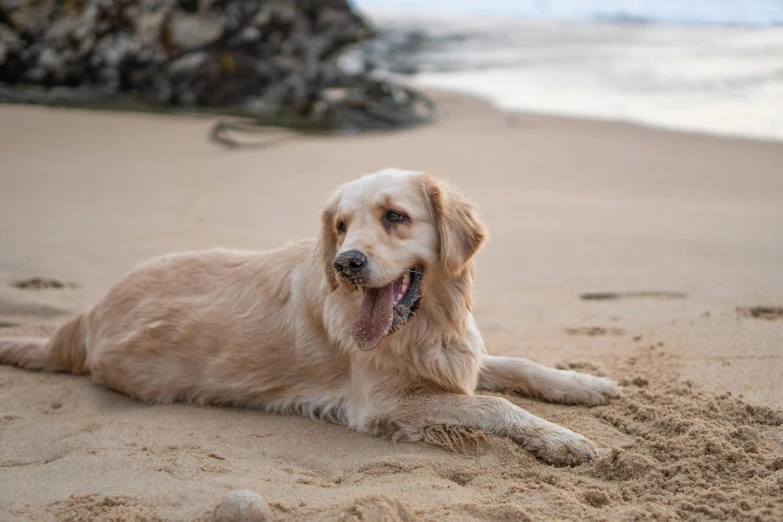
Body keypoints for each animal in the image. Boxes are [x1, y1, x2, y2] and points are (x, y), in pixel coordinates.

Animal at [0, 168, 616, 464]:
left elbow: (520, 366)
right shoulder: (383, 405)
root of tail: (89, 310)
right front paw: (564, 440)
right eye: (341, 226)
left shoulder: (453, 356)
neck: (421, 324)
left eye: (395, 216)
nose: (347, 263)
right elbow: (493, 405)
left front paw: (585, 384)